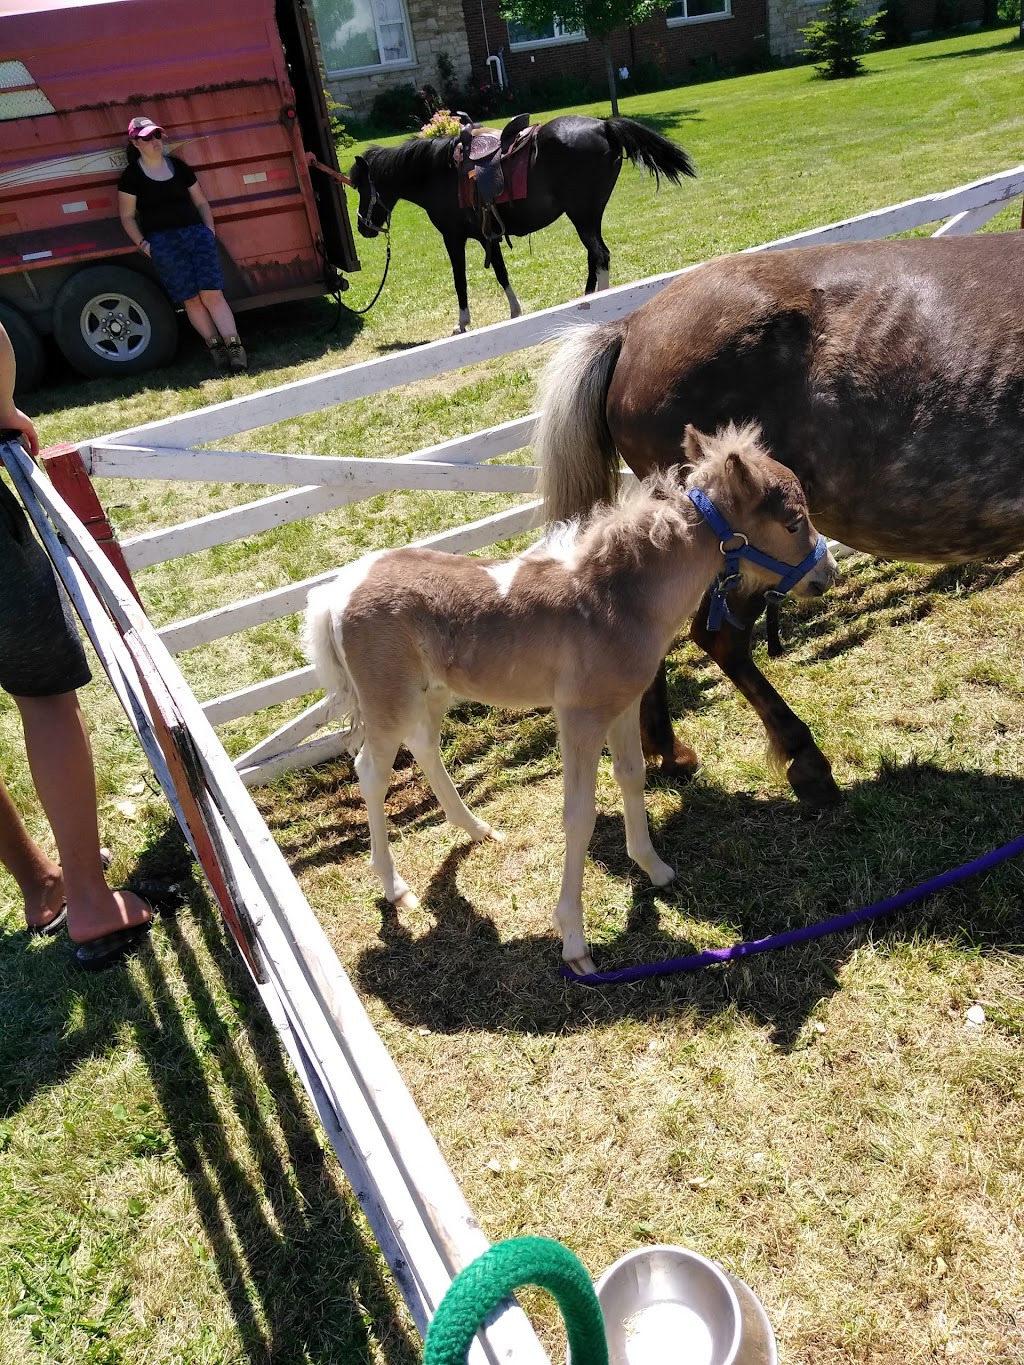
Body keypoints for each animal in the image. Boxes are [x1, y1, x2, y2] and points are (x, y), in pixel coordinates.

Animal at [303, 420, 835, 977]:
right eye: (793, 522)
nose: (827, 575)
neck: (617, 600)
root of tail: (336, 591)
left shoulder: (623, 706)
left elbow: (632, 777)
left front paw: (654, 868)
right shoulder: (580, 716)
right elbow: (578, 816)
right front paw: (575, 942)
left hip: (434, 692)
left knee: (425, 746)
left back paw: (476, 829)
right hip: (388, 701)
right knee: (371, 771)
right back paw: (394, 886)